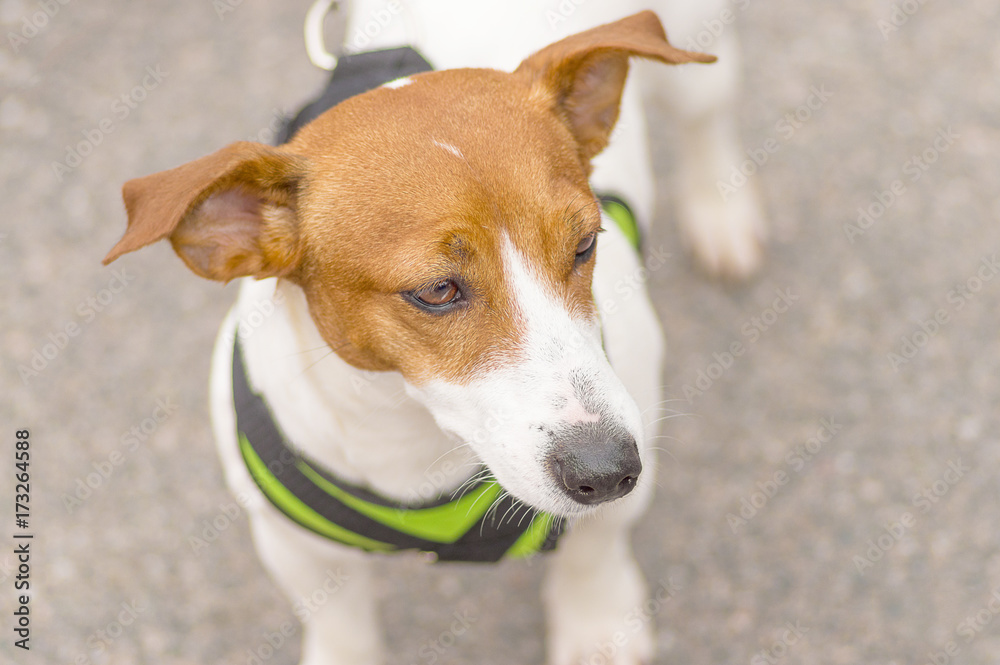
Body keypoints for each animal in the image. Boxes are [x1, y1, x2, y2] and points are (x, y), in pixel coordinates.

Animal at [101, 2, 760, 660]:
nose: (607, 469)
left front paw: (596, 627)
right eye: (437, 290)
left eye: (584, 244)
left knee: (709, 115)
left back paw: (721, 209)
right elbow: (339, 623)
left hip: (696, 58)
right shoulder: (296, 547)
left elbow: (594, 553)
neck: (406, 428)